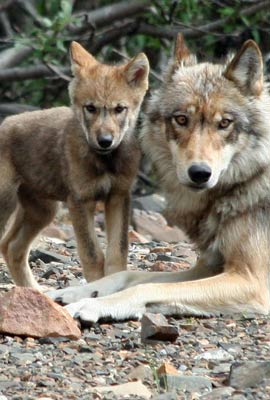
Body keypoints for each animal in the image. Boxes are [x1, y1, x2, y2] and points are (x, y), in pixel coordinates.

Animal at [0, 42, 149, 290]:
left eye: (120, 109)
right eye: (90, 108)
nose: (105, 141)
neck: (105, 162)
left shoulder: (118, 196)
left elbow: (117, 253)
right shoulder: (80, 200)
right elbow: (92, 255)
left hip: (42, 211)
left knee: (11, 247)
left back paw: (35, 291)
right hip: (10, 204)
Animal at [48, 36, 270, 324]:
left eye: (224, 123)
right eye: (182, 119)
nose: (199, 173)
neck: (248, 179)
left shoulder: (250, 280)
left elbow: (148, 286)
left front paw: (91, 305)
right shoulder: (208, 265)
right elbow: (128, 275)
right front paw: (74, 292)